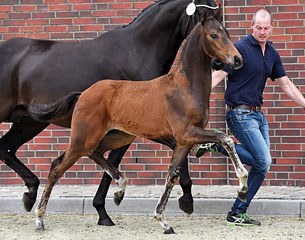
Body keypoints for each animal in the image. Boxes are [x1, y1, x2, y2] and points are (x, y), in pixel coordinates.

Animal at [0, 0, 220, 225]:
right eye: (204, 18)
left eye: (220, 18)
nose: (219, 63)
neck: (138, 50)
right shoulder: (147, 127)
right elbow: (172, 148)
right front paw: (186, 199)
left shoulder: (129, 129)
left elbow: (112, 162)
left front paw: (105, 209)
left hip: (29, 122)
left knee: (5, 148)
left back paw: (30, 193)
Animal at [33, 14, 247, 232]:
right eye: (214, 35)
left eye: (227, 33)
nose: (237, 59)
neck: (187, 87)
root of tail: (83, 93)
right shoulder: (186, 133)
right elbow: (225, 138)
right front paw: (242, 186)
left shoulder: (184, 142)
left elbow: (172, 175)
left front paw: (163, 221)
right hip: (83, 139)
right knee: (57, 167)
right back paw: (40, 219)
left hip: (120, 136)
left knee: (95, 153)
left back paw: (120, 190)